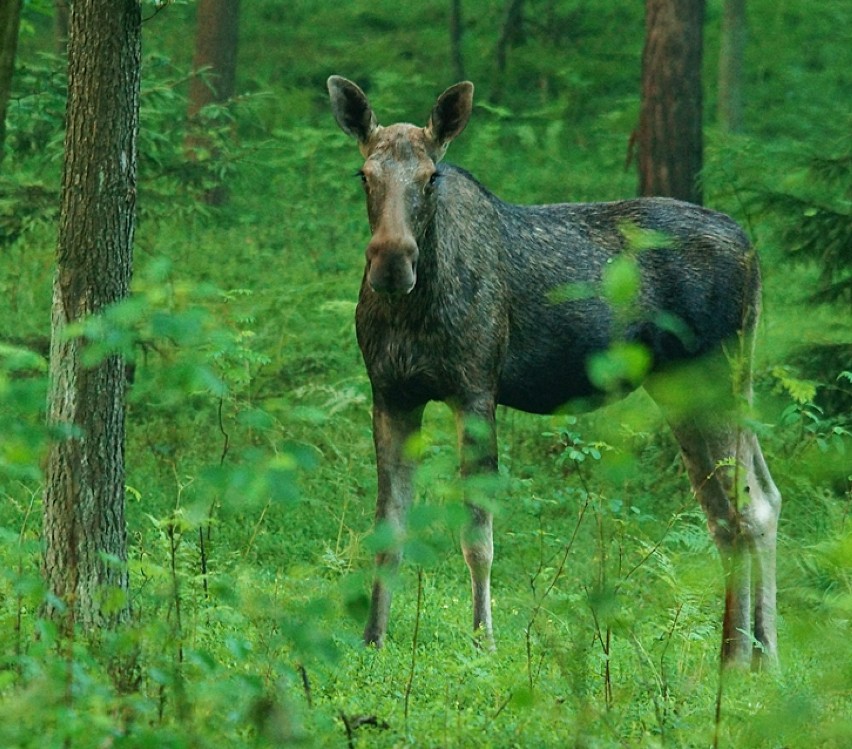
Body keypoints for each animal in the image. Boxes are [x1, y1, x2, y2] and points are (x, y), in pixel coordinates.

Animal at [326, 76, 780, 668]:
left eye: (431, 177)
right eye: (364, 175)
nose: (391, 260)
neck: (412, 312)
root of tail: (752, 249)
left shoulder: (475, 387)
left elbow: (478, 536)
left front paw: (484, 644)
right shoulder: (390, 393)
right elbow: (388, 529)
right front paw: (373, 640)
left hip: (713, 376)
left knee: (745, 509)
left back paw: (737, 658)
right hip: (692, 387)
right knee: (748, 505)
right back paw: (763, 658)